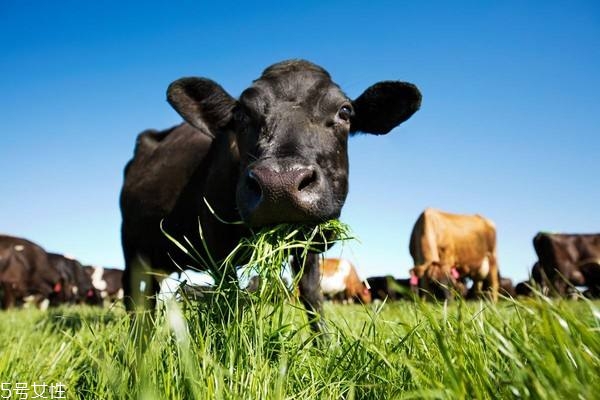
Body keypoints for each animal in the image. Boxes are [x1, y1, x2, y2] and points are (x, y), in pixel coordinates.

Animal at [120, 57, 422, 332]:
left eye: (345, 111)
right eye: (241, 115)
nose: (280, 183)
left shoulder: (306, 245)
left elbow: (312, 296)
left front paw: (325, 345)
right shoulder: (215, 245)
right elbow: (229, 297)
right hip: (132, 249)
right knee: (136, 299)